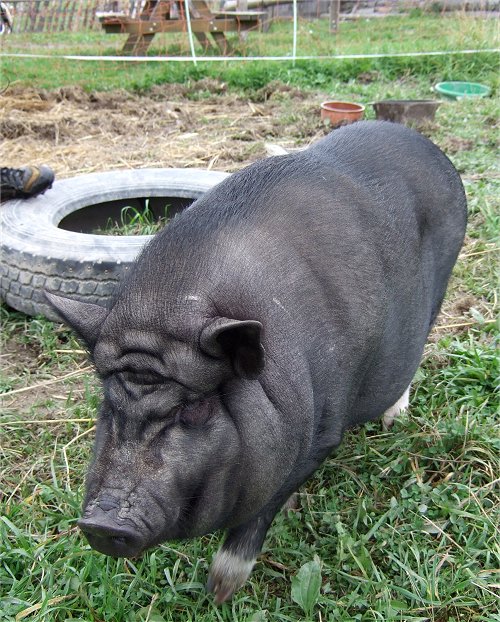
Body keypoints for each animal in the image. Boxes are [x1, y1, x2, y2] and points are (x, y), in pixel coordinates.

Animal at [46, 121, 467, 603]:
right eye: (107, 402)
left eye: (194, 408)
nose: (99, 523)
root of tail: (424, 143)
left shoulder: (324, 430)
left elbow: (261, 511)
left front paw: (219, 590)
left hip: (441, 285)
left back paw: (393, 418)